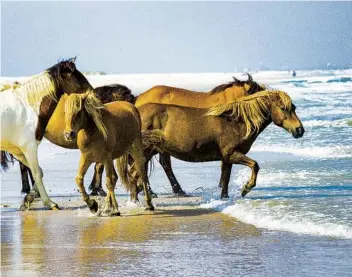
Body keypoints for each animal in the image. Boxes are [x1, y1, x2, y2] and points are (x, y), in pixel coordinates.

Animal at [0, 58, 93, 209]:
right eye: (79, 79)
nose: (93, 94)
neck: (29, 107)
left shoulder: (17, 150)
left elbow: (39, 171)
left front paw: (29, 198)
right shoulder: (30, 148)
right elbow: (37, 173)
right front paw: (50, 202)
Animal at [131, 89, 304, 197]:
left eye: (294, 107)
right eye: (283, 108)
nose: (299, 130)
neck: (236, 122)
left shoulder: (227, 159)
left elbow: (225, 181)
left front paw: (225, 197)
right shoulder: (231, 154)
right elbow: (255, 165)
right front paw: (246, 188)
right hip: (146, 152)